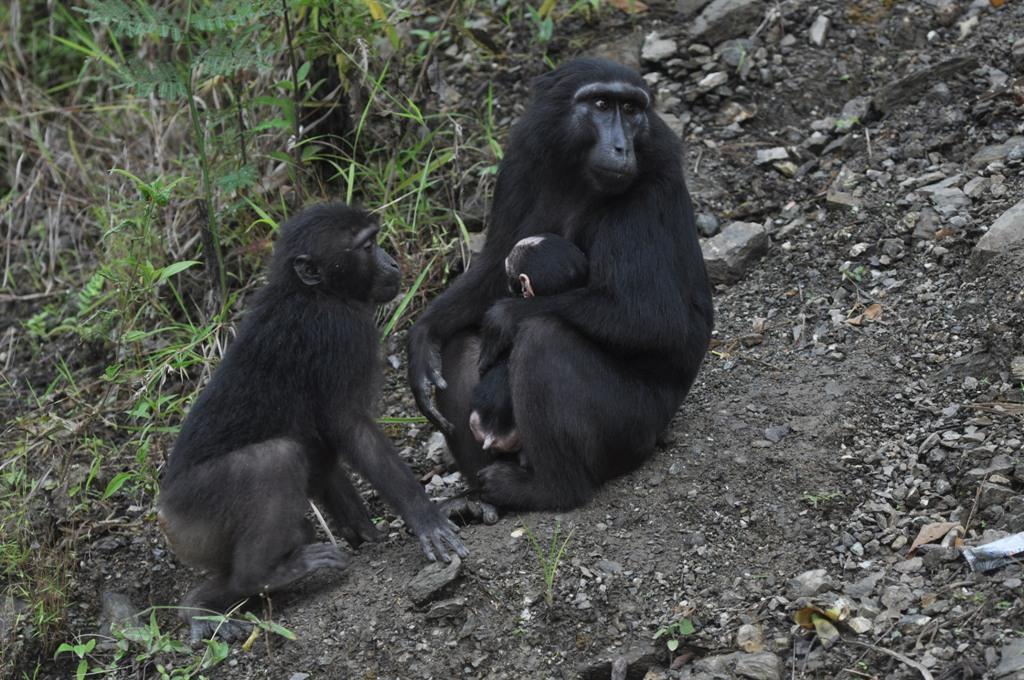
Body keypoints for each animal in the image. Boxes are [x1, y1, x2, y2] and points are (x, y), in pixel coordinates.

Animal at [159, 202, 468, 643]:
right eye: (368, 246)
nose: (392, 261)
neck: (312, 291)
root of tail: (166, 518)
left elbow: (325, 453)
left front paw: (369, 532)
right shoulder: (341, 330)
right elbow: (350, 427)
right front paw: (424, 516)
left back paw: (199, 605)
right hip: (196, 517)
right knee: (273, 460)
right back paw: (263, 575)